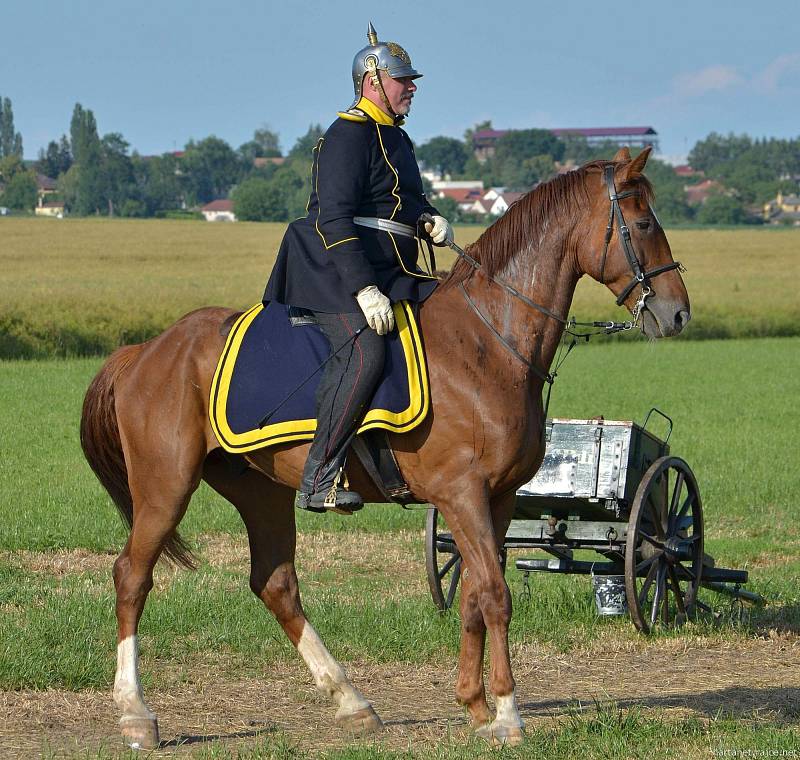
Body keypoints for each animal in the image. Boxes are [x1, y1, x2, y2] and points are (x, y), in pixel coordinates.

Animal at [83, 147, 692, 748]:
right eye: (642, 223)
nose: (677, 312)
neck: (487, 341)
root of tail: (146, 350)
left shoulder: (495, 500)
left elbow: (473, 595)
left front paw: (474, 705)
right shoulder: (462, 495)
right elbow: (495, 594)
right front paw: (507, 713)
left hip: (261, 492)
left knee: (276, 584)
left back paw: (351, 701)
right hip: (166, 486)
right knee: (132, 576)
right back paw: (135, 713)